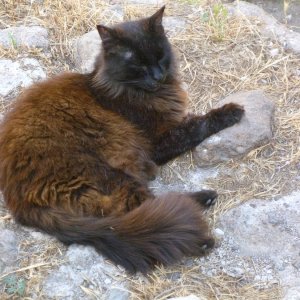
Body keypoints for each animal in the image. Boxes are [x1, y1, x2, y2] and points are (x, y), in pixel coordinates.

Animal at [0, 6, 244, 274]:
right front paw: (231, 112)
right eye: (138, 65)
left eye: (160, 56)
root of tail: (19, 202)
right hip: (108, 174)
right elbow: (197, 125)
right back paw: (202, 217)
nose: (158, 76)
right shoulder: (158, 140)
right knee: (144, 208)